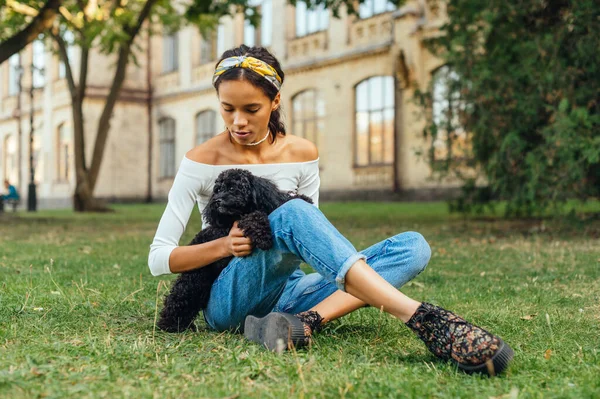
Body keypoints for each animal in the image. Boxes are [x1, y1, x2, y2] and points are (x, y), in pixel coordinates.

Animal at [155, 169, 314, 334]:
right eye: (217, 190)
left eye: (232, 188)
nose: (216, 201)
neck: (234, 215)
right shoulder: (230, 228)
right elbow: (253, 217)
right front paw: (262, 234)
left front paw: (303, 198)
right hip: (193, 281)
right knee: (179, 298)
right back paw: (170, 325)